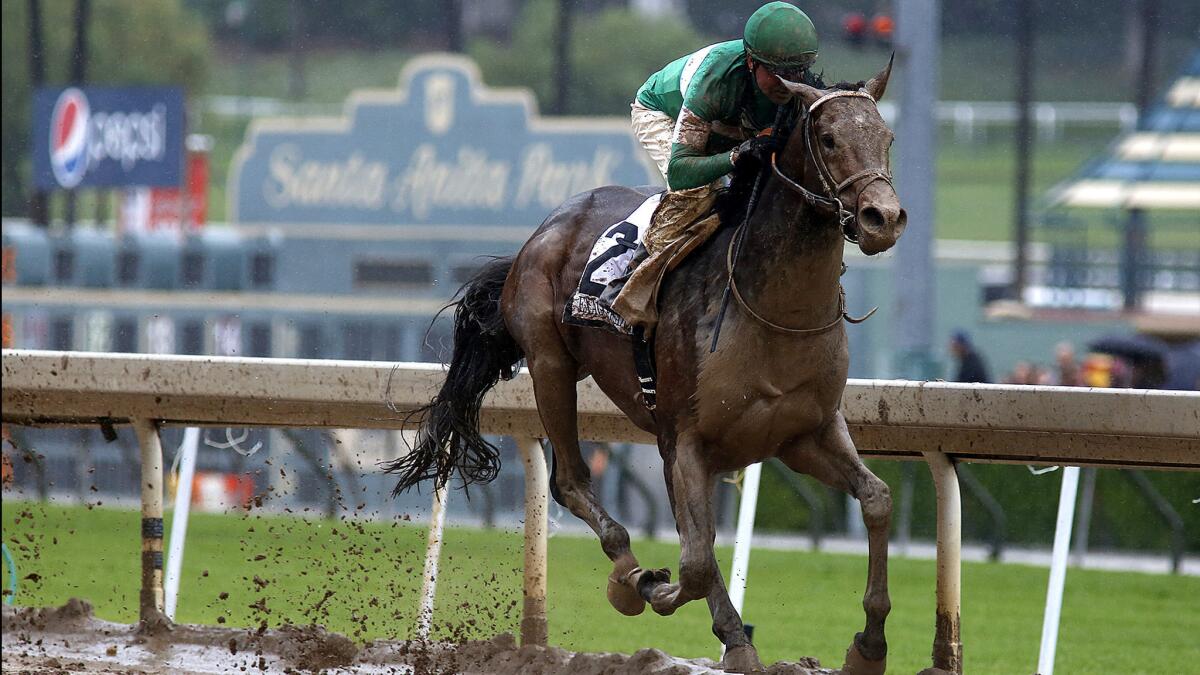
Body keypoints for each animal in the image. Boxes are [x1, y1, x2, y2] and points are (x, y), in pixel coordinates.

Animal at [388, 59, 902, 672]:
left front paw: (869, 644)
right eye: (827, 139)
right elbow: (696, 562)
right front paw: (674, 602)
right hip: (550, 364)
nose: (883, 218)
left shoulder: (805, 433)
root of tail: (541, 231)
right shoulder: (685, 441)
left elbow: (876, 498)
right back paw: (628, 573)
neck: (772, 310)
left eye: (887, 138)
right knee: (571, 482)